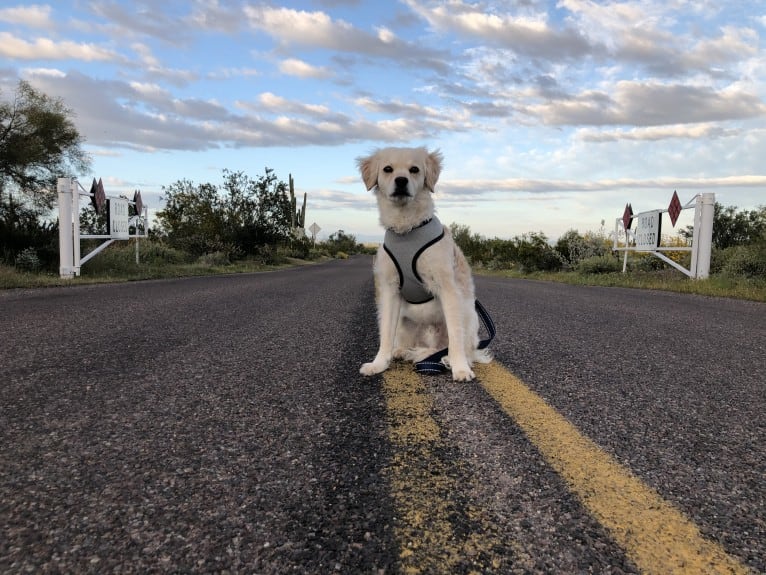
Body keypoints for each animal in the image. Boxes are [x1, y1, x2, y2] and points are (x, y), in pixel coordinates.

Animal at [358, 148, 492, 382]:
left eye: (414, 169)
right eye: (387, 169)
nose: (401, 180)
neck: (407, 229)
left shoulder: (448, 288)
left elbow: (456, 338)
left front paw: (460, 368)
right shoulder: (389, 290)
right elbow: (385, 335)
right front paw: (379, 364)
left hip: (469, 315)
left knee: (462, 348)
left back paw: (452, 359)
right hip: (405, 322)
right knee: (406, 342)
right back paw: (401, 351)